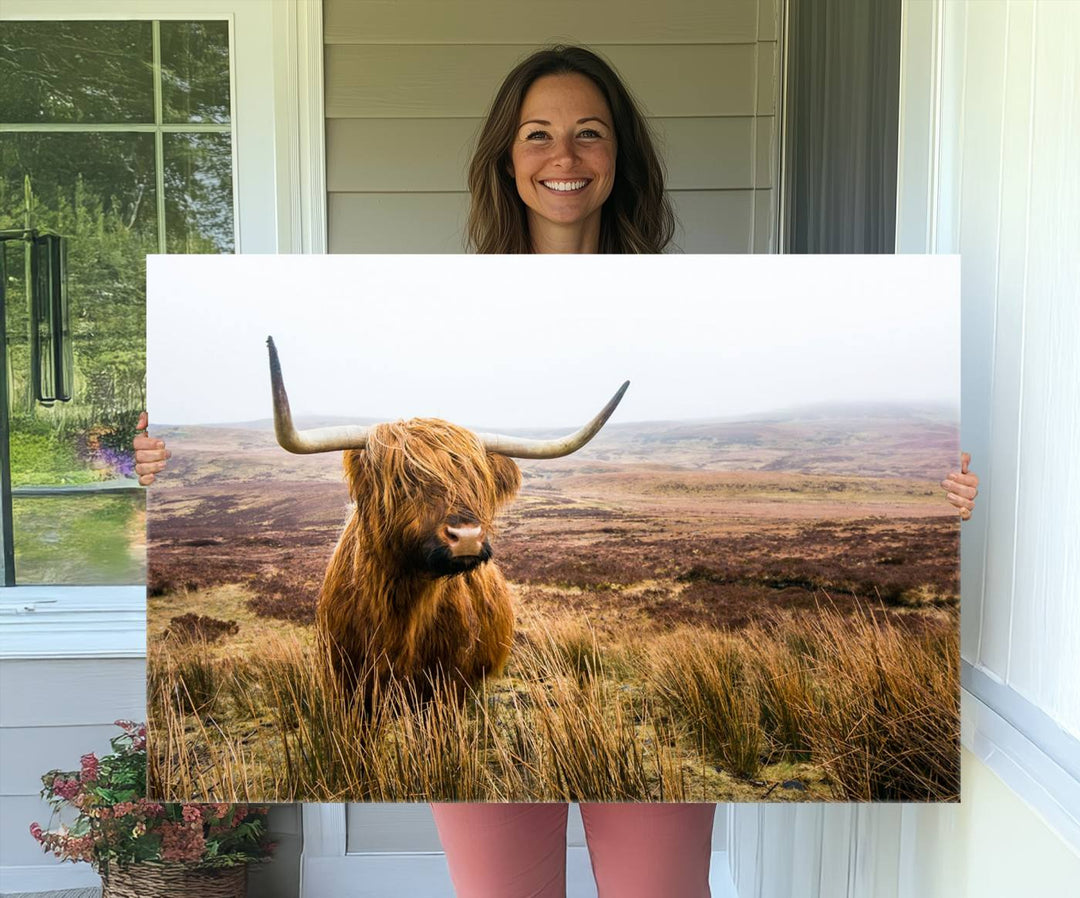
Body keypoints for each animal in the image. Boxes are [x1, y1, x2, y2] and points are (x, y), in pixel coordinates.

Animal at [265, 337, 630, 700]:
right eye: (403, 481)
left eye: (478, 482)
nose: (467, 537)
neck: (403, 606)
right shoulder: (347, 682)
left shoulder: (450, 683)